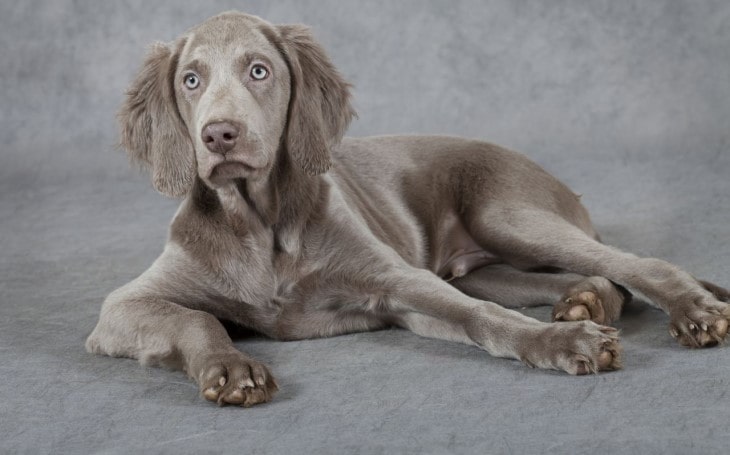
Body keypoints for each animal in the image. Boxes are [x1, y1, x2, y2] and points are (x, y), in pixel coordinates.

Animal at [86, 10, 728, 408]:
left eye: (259, 71)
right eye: (191, 80)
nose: (218, 135)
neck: (260, 224)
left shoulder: (397, 282)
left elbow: (483, 319)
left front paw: (563, 345)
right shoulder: (122, 307)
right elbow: (198, 318)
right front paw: (232, 369)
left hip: (505, 213)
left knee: (635, 264)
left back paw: (692, 312)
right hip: (479, 267)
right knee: (590, 276)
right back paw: (584, 302)